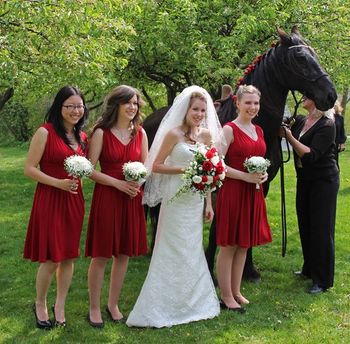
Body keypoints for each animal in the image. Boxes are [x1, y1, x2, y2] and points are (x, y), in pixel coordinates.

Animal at [142, 27, 336, 280]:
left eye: (315, 53)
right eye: (300, 58)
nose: (331, 95)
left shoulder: (262, 183)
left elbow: (251, 224)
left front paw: (248, 269)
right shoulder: (218, 183)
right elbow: (217, 228)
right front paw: (211, 269)